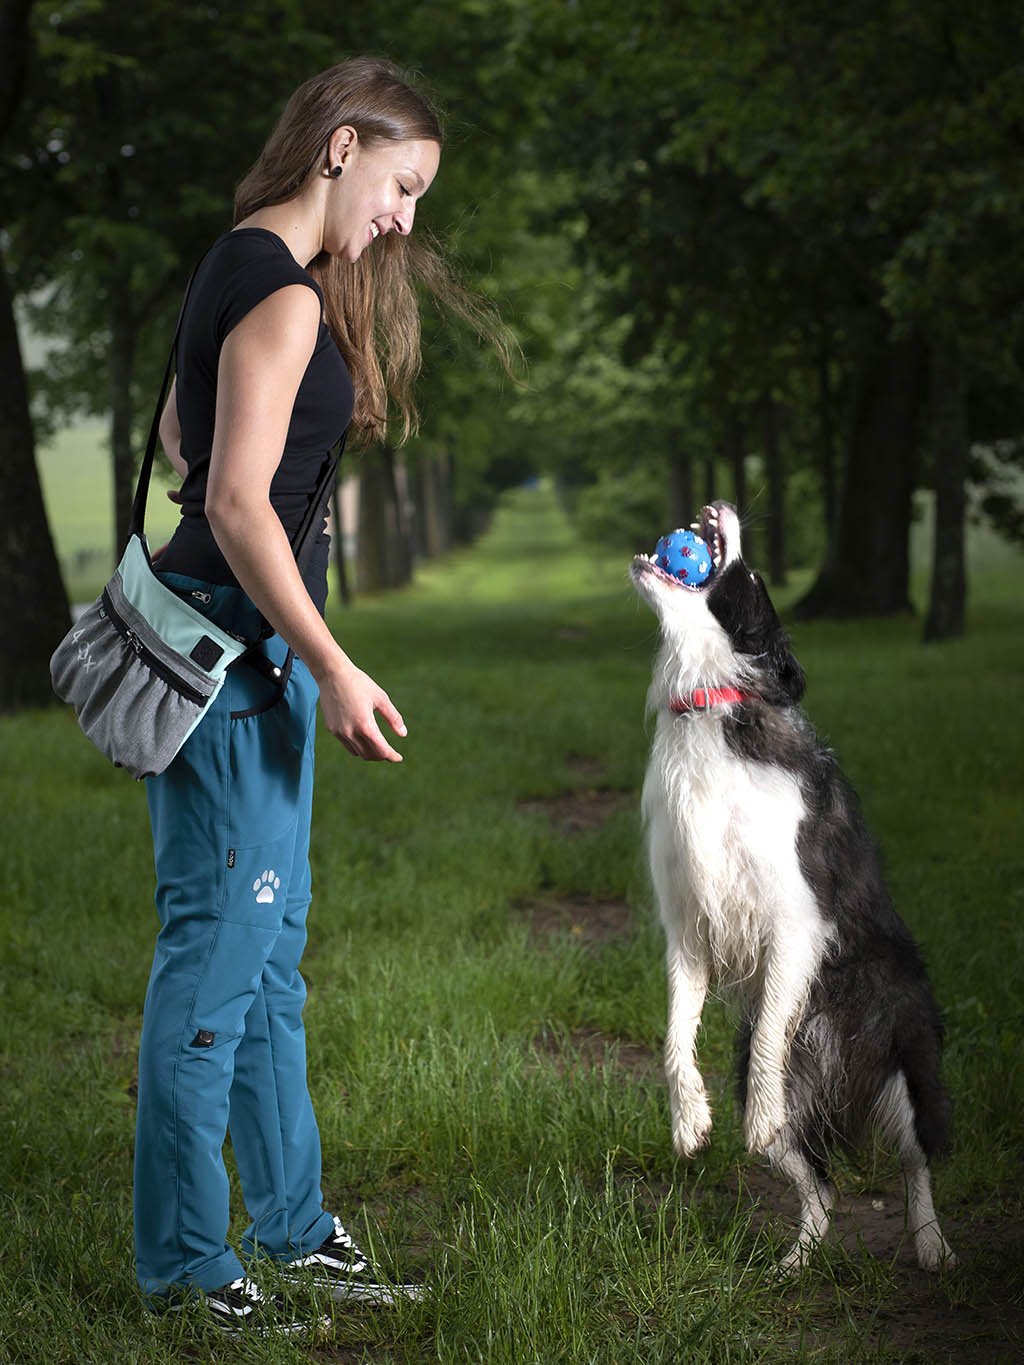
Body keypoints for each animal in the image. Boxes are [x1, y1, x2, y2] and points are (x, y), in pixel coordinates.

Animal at [630, 507, 961, 1272]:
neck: (710, 702)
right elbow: (675, 1032)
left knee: (916, 1162)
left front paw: (748, 1113)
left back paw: (932, 1246)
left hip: (909, 1064)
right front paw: (689, 1118)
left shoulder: (794, 916)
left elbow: (775, 1022)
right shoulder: (687, 923)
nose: (723, 507)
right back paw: (795, 1261)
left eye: (748, 577)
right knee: (823, 1185)